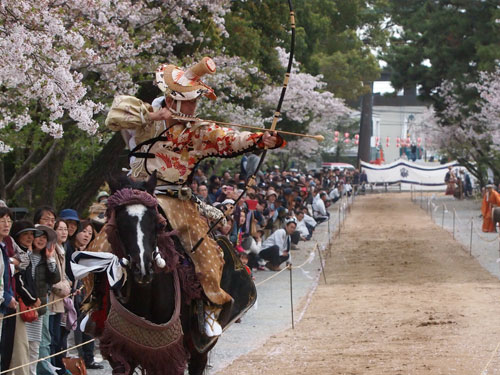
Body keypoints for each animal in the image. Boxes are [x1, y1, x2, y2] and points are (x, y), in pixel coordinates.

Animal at [95, 175, 256, 374]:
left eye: (156, 222)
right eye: (119, 221)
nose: (142, 268)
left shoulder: (170, 353)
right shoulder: (122, 352)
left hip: (198, 348)